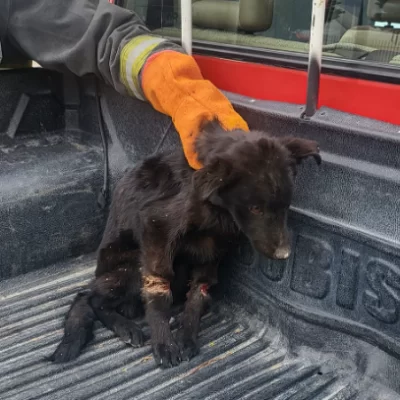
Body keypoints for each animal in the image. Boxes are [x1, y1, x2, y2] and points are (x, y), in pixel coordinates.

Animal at [50, 122, 320, 368]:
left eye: (286, 205)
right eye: (255, 208)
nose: (284, 254)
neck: (216, 207)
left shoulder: (211, 251)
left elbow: (198, 294)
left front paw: (187, 335)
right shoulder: (156, 230)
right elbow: (158, 292)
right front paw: (164, 343)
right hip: (131, 267)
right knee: (87, 296)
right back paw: (125, 327)